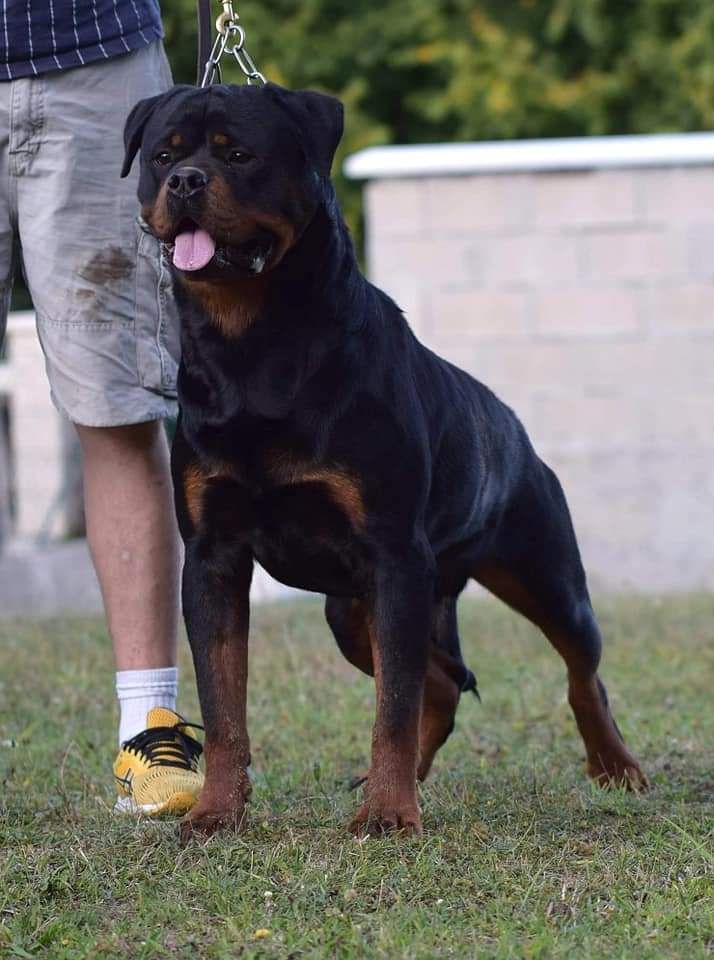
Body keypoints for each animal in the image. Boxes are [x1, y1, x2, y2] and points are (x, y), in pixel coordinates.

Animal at [121, 82, 644, 840]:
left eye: (238, 155)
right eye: (163, 155)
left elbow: (391, 707)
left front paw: (391, 816)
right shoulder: (213, 557)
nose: (186, 181)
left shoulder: (394, 554)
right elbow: (224, 706)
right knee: (443, 682)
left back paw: (614, 766)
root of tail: (515, 427)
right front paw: (218, 811)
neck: (250, 344)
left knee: (580, 674)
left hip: (544, 576)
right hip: (353, 610)